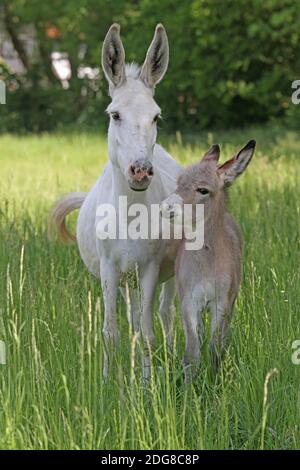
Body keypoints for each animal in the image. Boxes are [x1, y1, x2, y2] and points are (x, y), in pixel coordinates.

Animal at [161, 140, 256, 382]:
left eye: (203, 190)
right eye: (179, 183)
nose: (166, 207)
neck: (206, 264)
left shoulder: (222, 302)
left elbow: (216, 347)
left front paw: (215, 381)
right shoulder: (189, 301)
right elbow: (192, 352)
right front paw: (189, 387)